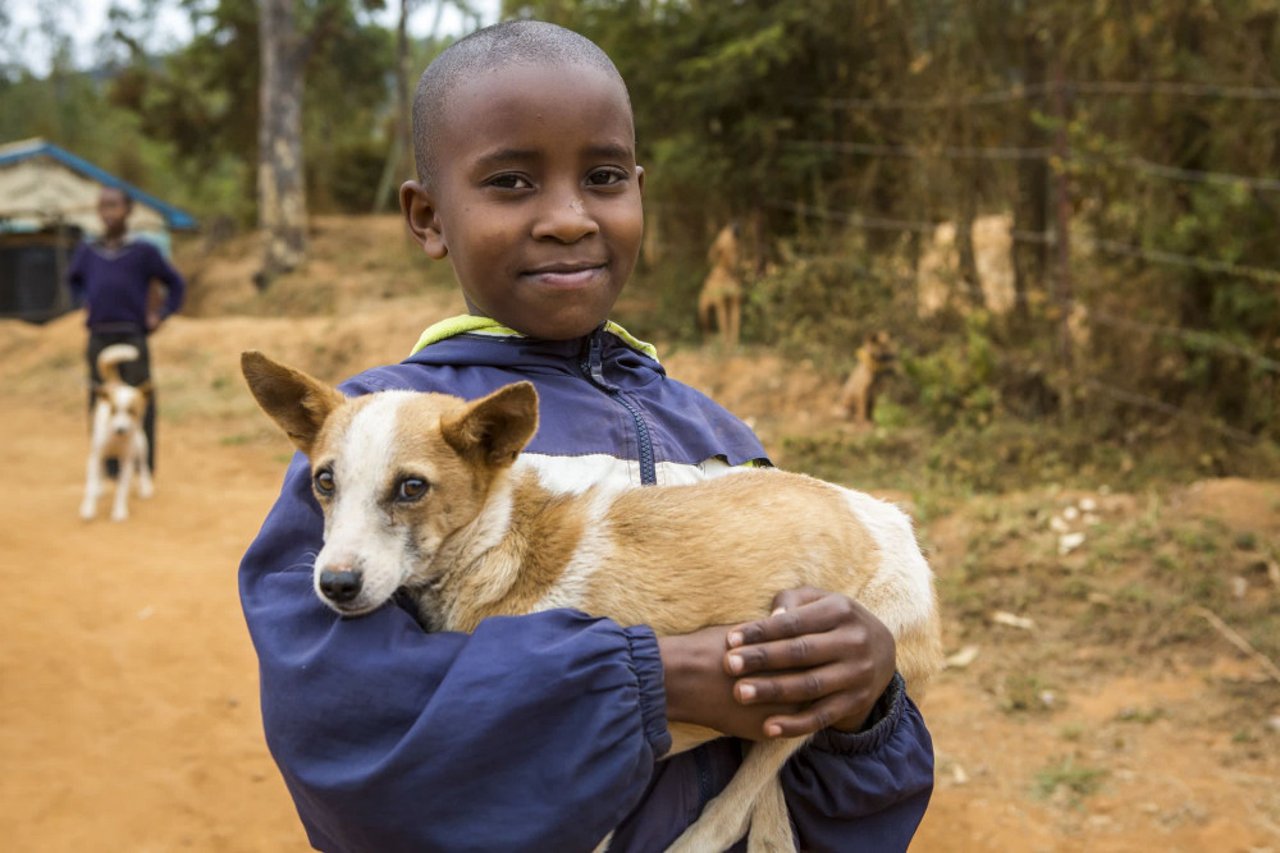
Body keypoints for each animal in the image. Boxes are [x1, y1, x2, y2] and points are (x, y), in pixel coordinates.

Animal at [80, 340, 152, 517]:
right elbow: (90, 485)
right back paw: (99, 488)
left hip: (141, 443)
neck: (116, 439)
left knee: (143, 466)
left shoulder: (126, 462)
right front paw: (88, 509)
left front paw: (119, 512)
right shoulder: (95, 456)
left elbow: (121, 490)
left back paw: (146, 487)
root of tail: (117, 383)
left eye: (132, 411)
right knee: (101, 470)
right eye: (113, 410)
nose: (121, 429)